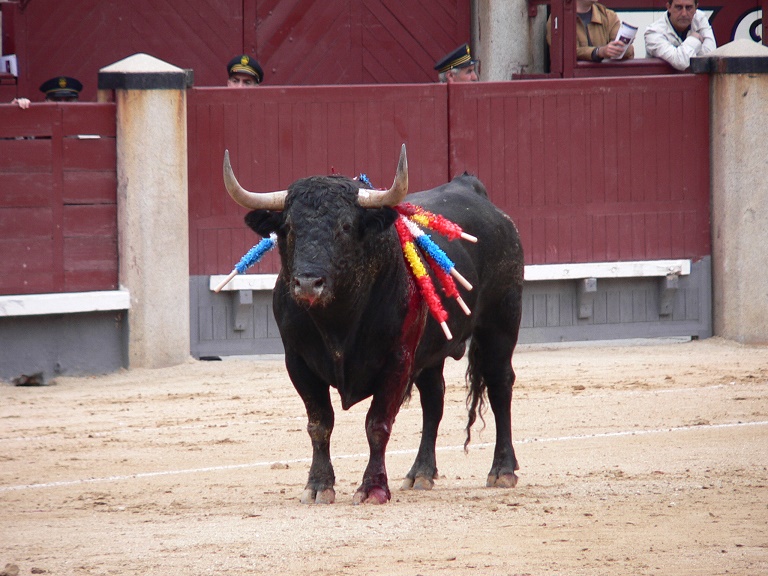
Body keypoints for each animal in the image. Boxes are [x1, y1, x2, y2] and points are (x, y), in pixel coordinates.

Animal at [225, 145, 524, 504]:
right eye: (289, 228)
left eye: (345, 226)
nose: (308, 283)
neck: (337, 320)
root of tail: (475, 193)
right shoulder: (297, 362)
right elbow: (319, 423)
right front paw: (318, 485)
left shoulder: (396, 361)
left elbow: (377, 424)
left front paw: (373, 488)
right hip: (432, 352)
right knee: (433, 400)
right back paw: (420, 473)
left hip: (500, 323)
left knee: (499, 385)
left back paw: (502, 469)